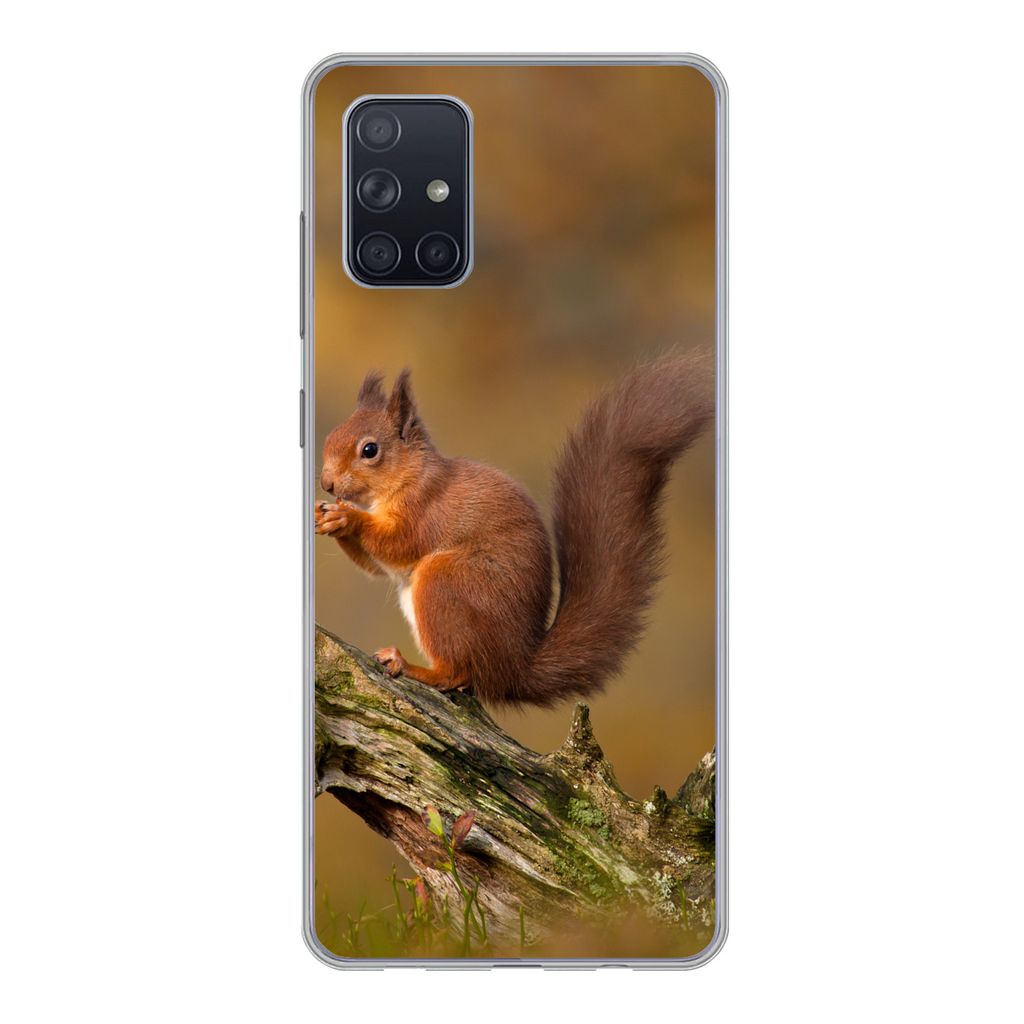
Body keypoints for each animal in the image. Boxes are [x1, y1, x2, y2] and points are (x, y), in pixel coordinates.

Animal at [315, 351, 714, 708]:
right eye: (329, 437)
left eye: (370, 450)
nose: (326, 484)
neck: (407, 477)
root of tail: (513, 669)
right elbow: (376, 567)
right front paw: (327, 517)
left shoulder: (425, 509)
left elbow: (399, 544)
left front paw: (348, 517)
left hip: (446, 582)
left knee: (457, 672)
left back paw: (412, 667)